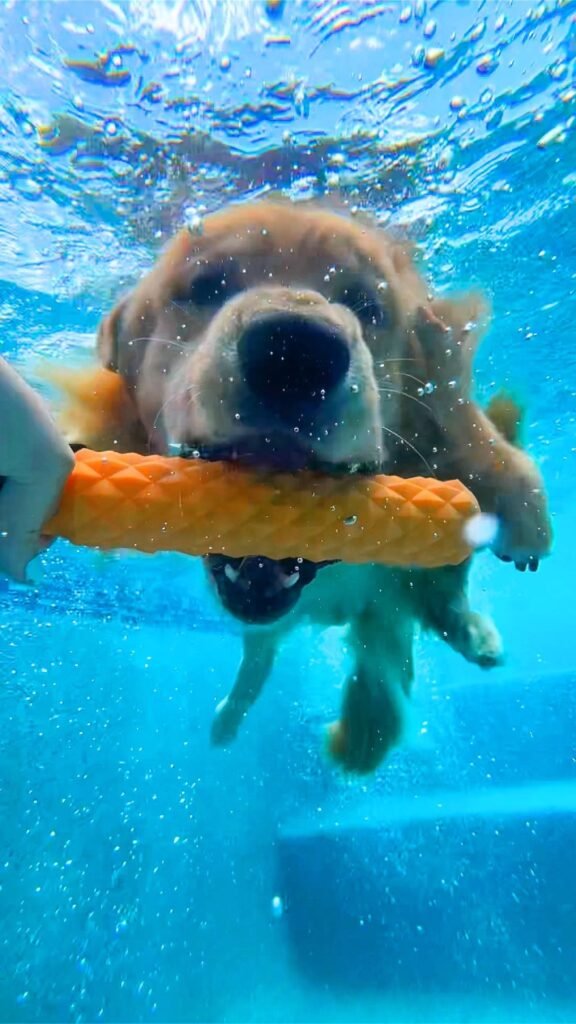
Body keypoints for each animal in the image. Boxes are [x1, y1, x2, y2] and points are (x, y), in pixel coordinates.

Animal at [56, 200, 552, 774]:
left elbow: (481, 440)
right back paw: (229, 717)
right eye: (205, 286)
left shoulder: (448, 398)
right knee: (264, 658)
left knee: (438, 599)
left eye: (366, 304)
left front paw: (522, 511)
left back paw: (476, 635)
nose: (294, 353)